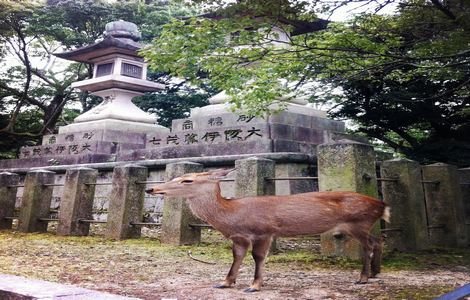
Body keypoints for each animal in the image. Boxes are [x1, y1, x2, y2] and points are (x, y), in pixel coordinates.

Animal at [146, 169, 390, 292]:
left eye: (187, 180)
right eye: (176, 176)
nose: (152, 189)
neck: (231, 215)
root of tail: (382, 205)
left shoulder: (264, 230)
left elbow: (258, 256)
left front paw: (254, 285)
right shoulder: (239, 237)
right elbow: (237, 256)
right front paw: (226, 282)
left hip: (358, 222)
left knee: (369, 244)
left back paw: (362, 278)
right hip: (362, 225)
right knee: (378, 241)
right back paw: (375, 272)